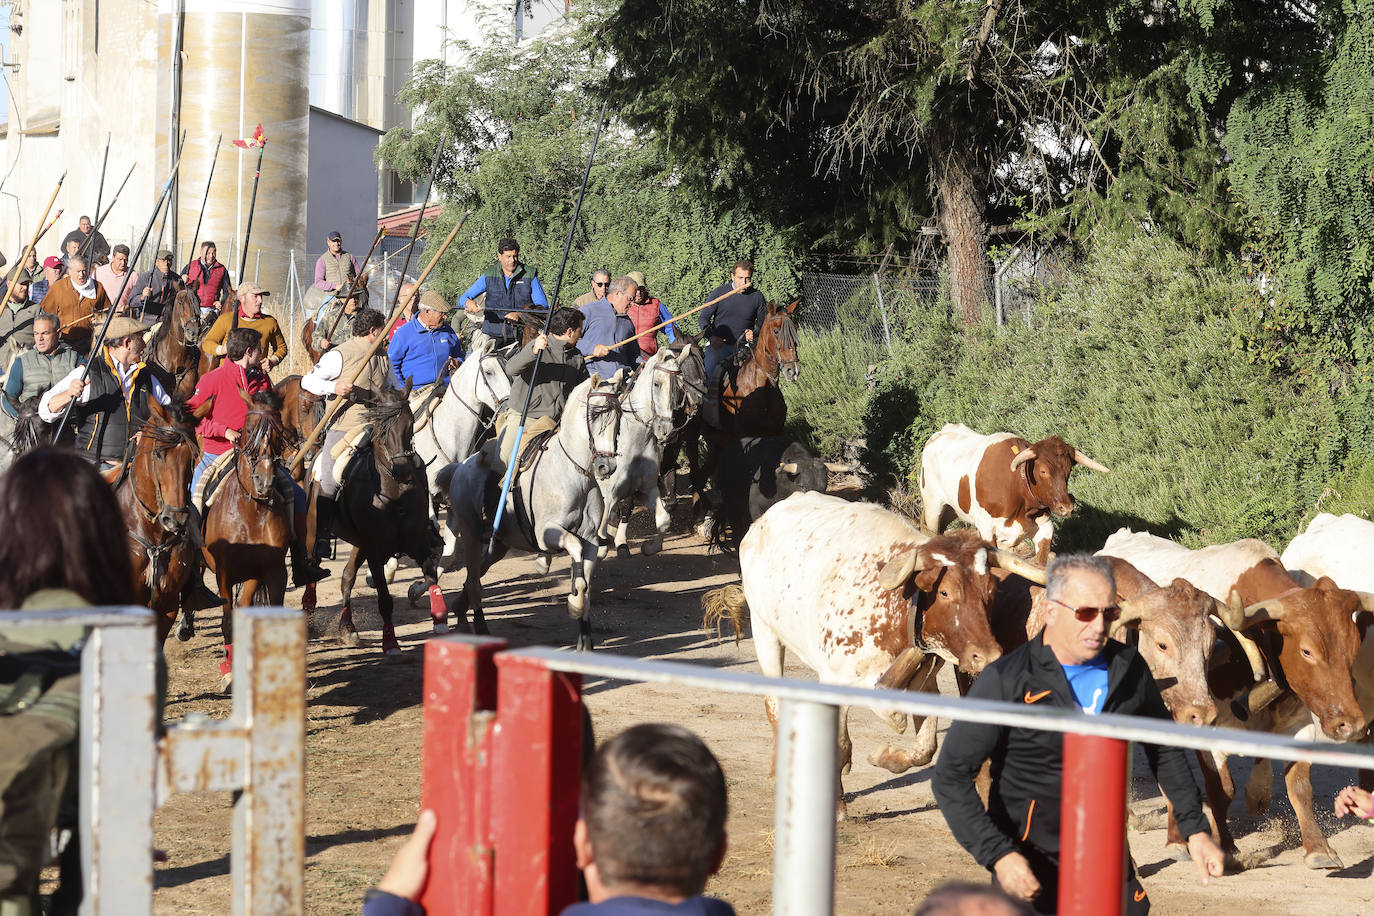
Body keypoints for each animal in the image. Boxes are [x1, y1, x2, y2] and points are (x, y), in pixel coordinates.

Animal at [200, 390, 289, 692]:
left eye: (278, 431)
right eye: (249, 430)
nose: (264, 480)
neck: (251, 512)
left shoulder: (274, 571)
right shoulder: (224, 573)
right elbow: (227, 622)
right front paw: (228, 674)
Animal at [313, 384, 442, 656]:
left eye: (410, 423)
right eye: (381, 428)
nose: (403, 470)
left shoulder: (415, 542)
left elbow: (431, 577)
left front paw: (441, 622)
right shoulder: (375, 550)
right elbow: (384, 599)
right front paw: (390, 643)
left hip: (358, 543)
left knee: (347, 579)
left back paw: (348, 629)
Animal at [1099, 527, 1374, 873]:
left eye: (1353, 648)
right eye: (1307, 651)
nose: (1351, 725)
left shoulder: (1298, 720)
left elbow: (1299, 786)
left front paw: (1318, 848)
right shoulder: (1205, 723)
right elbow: (1221, 790)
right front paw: (1226, 848)